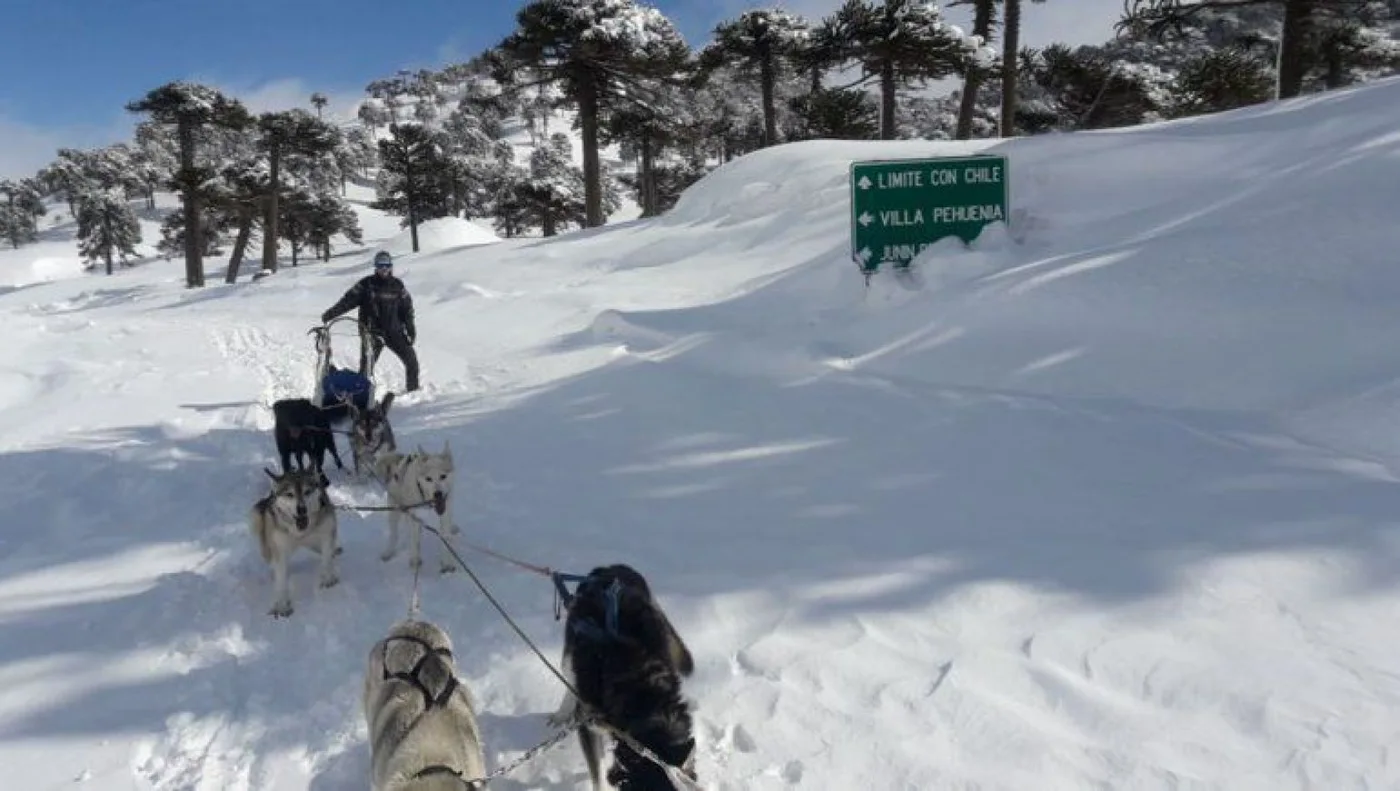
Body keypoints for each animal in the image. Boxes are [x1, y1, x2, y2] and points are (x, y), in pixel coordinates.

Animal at [246, 467, 338, 616]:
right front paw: (282, 605)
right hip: (267, 545)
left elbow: (326, 558)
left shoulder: (326, 533)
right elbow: (281, 579)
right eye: (289, 494)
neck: (300, 532)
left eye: (307, 491)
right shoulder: (279, 550)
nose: (301, 509)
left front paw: (328, 578)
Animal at [372, 436, 459, 574]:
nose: (438, 494)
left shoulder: (445, 514)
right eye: (428, 478)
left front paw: (447, 563)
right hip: (395, 511)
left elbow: (446, 539)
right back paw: (389, 552)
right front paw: (415, 562)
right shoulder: (414, 518)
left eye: (443, 476)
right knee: (394, 534)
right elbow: (415, 541)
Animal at [548, 560, 697, 789]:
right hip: (569, 653)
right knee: (568, 679)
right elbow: (598, 775)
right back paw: (562, 713)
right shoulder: (589, 725)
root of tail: (609, 568)